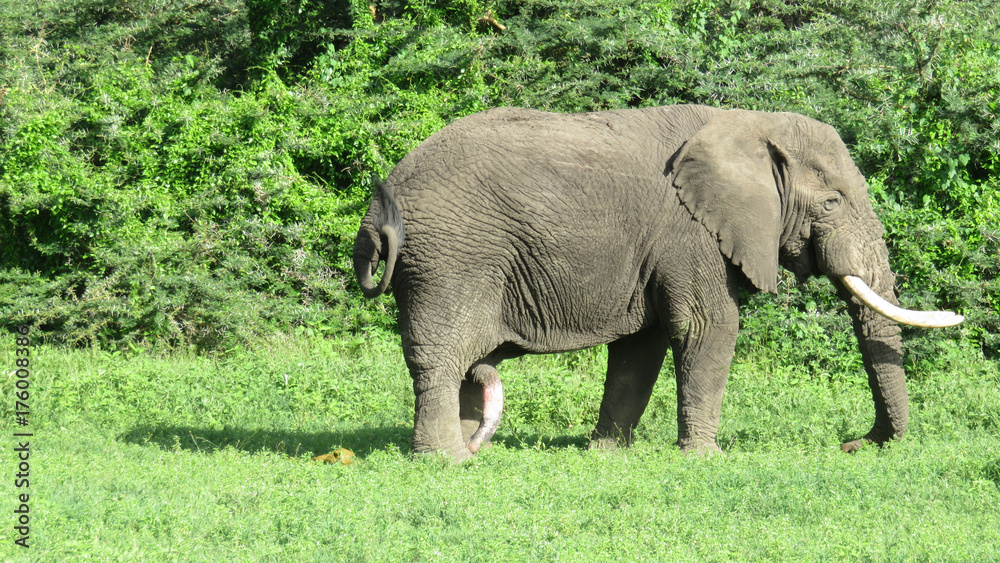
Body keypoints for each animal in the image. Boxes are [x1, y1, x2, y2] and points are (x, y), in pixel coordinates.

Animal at [353, 105, 963, 461]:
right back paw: (446, 461)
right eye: (833, 202)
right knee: (440, 357)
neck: (747, 123)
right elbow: (709, 326)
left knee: (464, 364)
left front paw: (607, 456)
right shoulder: (688, 231)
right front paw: (706, 461)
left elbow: (639, 346)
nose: (853, 442)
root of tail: (380, 206)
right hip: (451, 261)